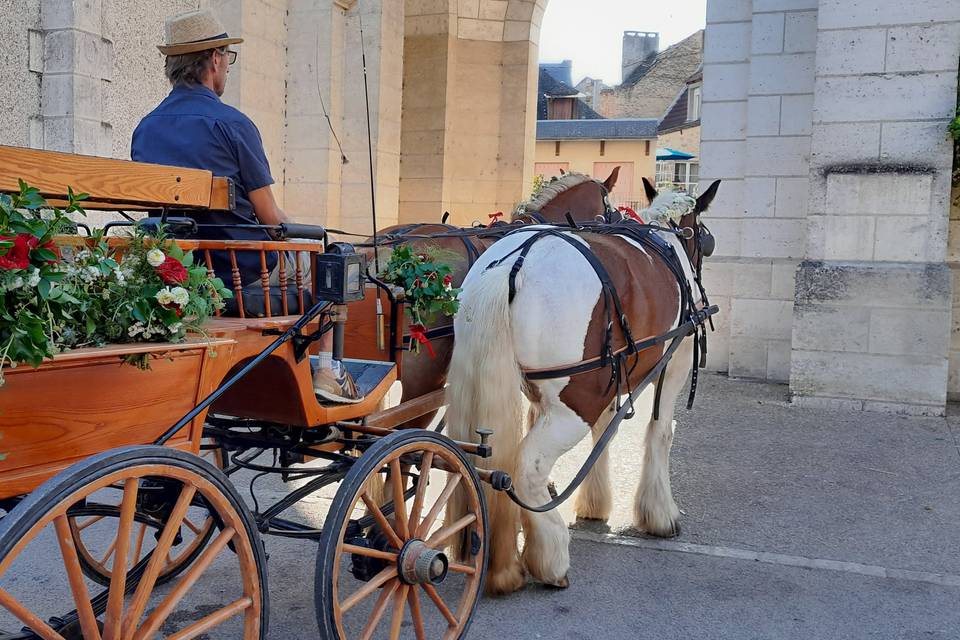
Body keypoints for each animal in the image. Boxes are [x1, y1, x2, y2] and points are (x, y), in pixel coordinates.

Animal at [446, 176, 716, 596]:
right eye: (701, 234)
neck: (667, 240)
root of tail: (511, 265)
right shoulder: (675, 362)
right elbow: (660, 432)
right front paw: (659, 514)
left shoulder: (606, 375)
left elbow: (605, 434)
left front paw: (594, 503)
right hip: (575, 404)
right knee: (527, 467)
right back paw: (550, 557)